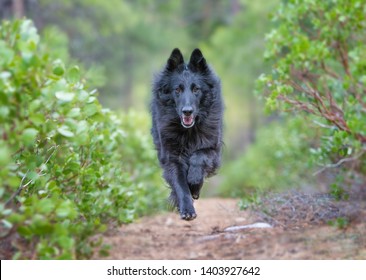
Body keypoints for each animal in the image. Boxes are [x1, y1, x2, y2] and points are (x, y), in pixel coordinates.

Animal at [151, 49, 223, 221]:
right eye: (177, 90)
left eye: (196, 89)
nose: (187, 111)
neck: (189, 131)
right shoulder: (172, 157)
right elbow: (180, 184)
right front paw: (187, 208)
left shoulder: (213, 148)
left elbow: (199, 156)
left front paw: (194, 182)